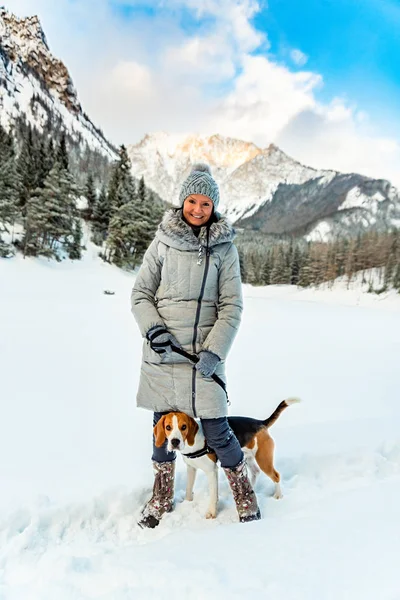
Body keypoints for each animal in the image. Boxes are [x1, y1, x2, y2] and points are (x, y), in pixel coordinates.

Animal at [154, 396, 300, 516]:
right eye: (168, 427)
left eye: (183, 427)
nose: (175, 442)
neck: (192, 442)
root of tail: (260, 423)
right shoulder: (191, 468)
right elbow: (189, 489)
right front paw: (187, 503)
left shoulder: (211, 471)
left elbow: (213, 494)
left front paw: (211, 513)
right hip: (247, 457)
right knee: (255, 472)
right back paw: (251, 489)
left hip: (264, 459)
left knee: (276, 475)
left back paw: (278, 496)